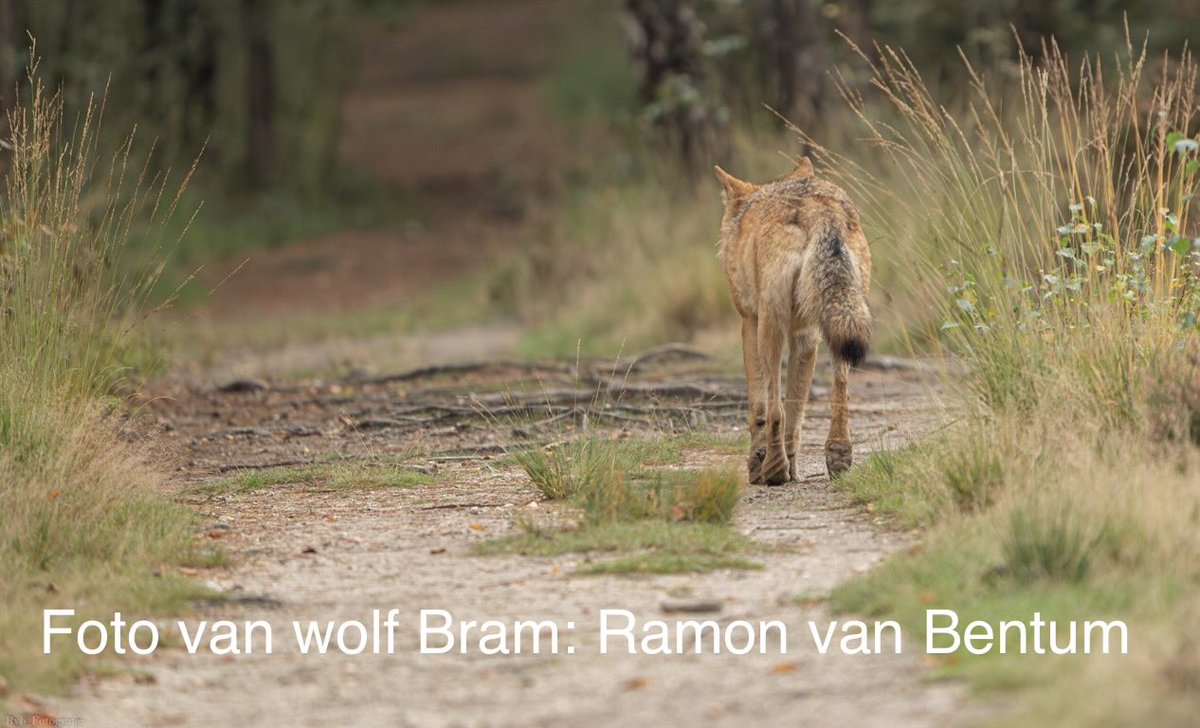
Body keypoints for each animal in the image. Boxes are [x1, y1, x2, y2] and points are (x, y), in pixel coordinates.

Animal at [714, 157, 872, 485]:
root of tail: (816, 204)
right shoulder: (806, 334)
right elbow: (797, 410)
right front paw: (793, 465)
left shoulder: (749, 323)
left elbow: (760, 408)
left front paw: (758, 463)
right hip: (840, 324)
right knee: (839, 390)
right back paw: (838, 455)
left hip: (770, 328)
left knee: (775, 409)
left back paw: (773, 469)